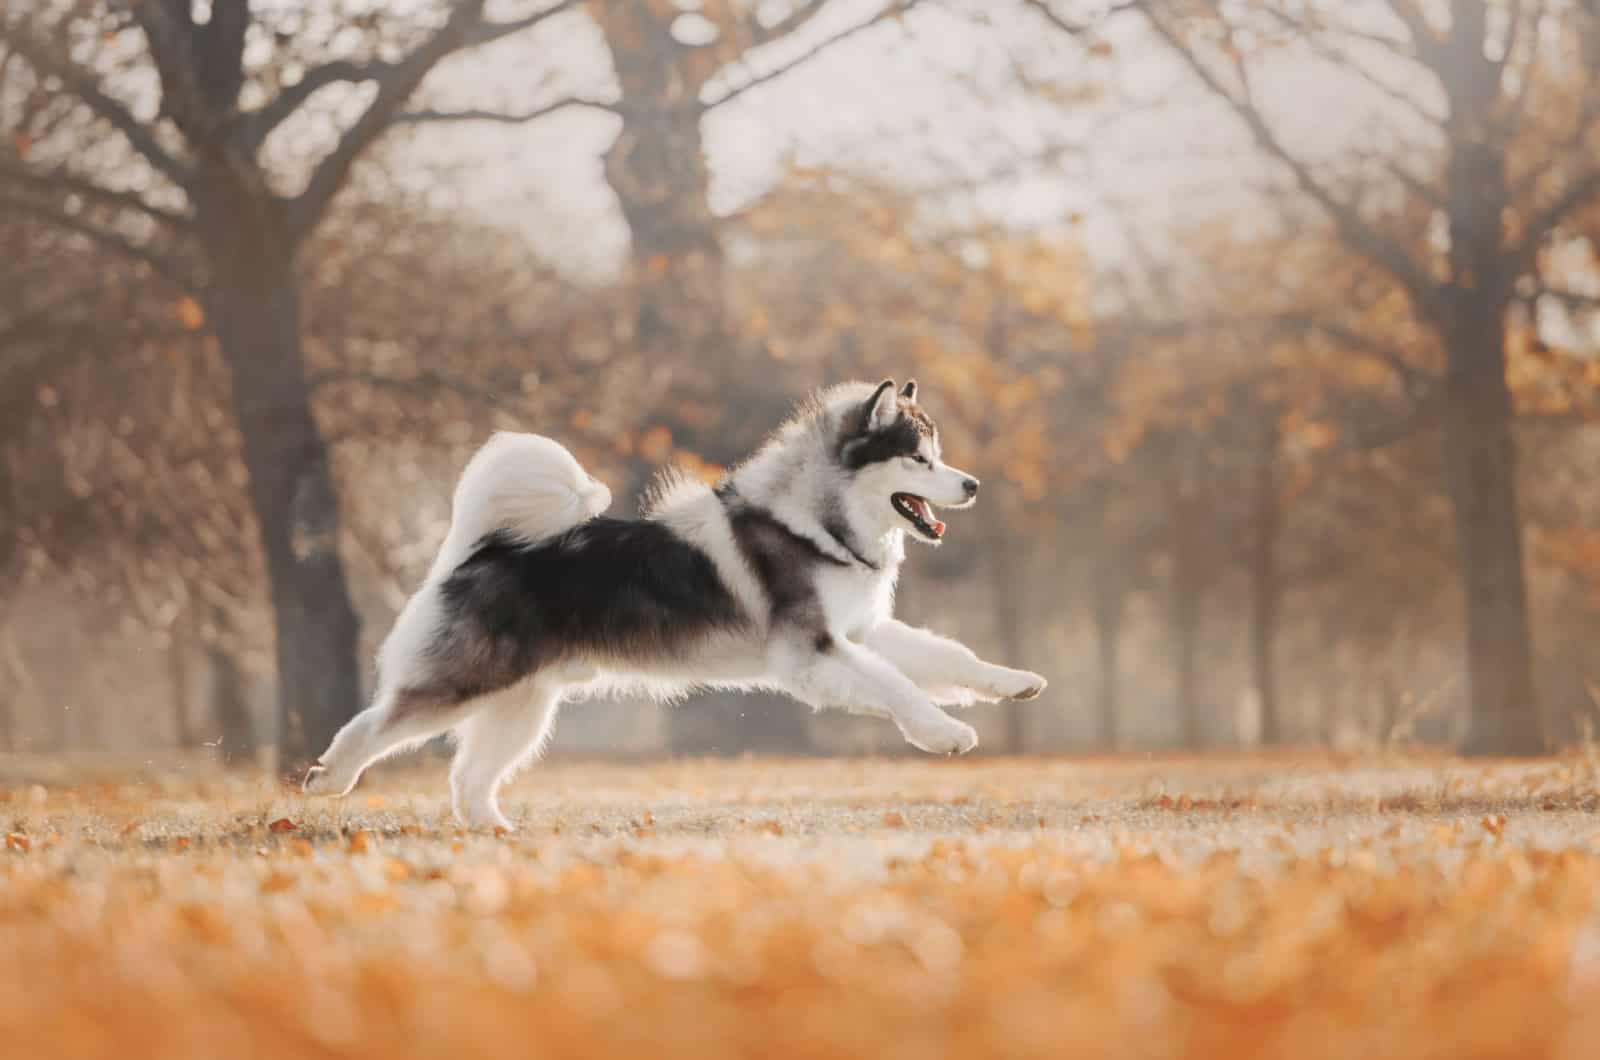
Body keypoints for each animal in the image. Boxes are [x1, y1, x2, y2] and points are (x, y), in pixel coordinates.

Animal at [304, 382, 1043, 832]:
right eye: (918, 460)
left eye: (937, 456)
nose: (973, 485)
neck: (817, 523)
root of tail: (484, 547)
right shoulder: (811, 653)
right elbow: (897, 686)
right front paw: (944, 732)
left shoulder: (862, 630)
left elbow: (952, 657)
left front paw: (1015, 683)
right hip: (467, 681)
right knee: (375, 722)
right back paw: (328, 778)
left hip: (523, 706)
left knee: (469, 776)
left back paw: (494, 830)